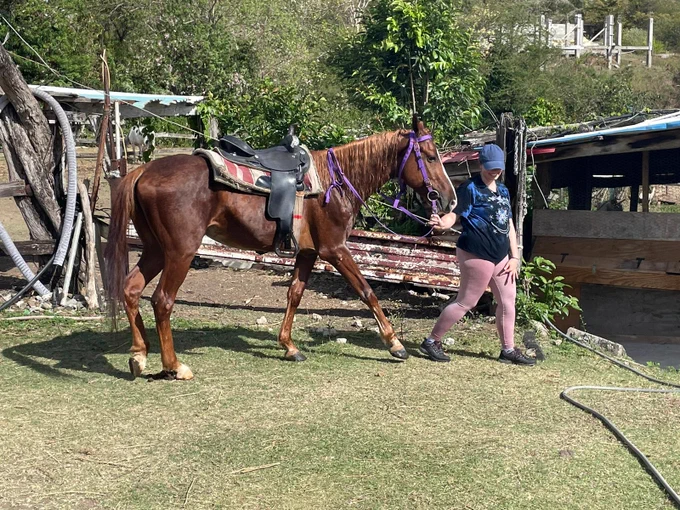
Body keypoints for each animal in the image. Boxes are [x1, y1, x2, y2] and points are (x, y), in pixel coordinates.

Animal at [105, 115, 456, 380]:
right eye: (430, 157)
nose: (449, 199)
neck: (335, 183)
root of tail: (144, 170)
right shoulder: (335, 249)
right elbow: (367, 291)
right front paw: (394, 343)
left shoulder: (308, 252)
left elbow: (294, 295)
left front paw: (289, 346)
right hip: (180, 252)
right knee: (162, 301)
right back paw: (174, 366)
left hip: (155, 250)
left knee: (131, 289)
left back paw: (139, 355)